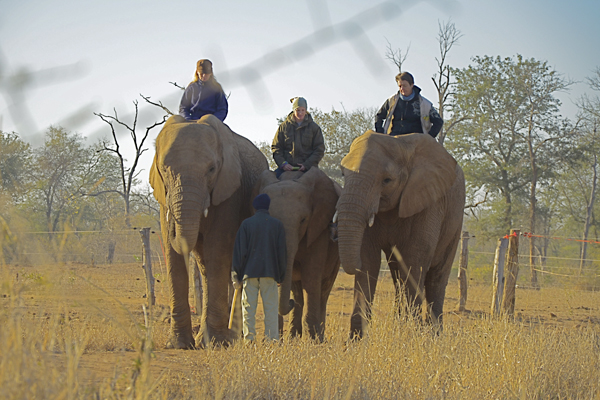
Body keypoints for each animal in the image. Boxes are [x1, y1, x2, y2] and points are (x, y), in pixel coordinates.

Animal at [151, 114, 268, 348]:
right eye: (165, 169)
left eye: (212, 169)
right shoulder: (163, 197)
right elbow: (173, 254)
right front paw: (178, 345)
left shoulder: (229, 190)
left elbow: (218, 250)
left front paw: (215, 343)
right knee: (205, 267)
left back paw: (230, 338)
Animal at [252, 167, 340, 342]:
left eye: (303, 220)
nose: (290, 302)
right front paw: (273, 341)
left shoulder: (319, 228)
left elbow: (311, 280)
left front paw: (314, 341)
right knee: (298, 290)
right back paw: (293, 337)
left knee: (324, 290)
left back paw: (319, 337)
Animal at [336, 131, 466, 338]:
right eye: (343, 174)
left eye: (387, 180)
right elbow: (369, 260)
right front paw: (356, 340)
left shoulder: (429, 201)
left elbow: (415, 260)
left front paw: (413, 336)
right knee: (398, 277)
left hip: (455, 217)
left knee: (437, 277)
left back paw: (434, 334)